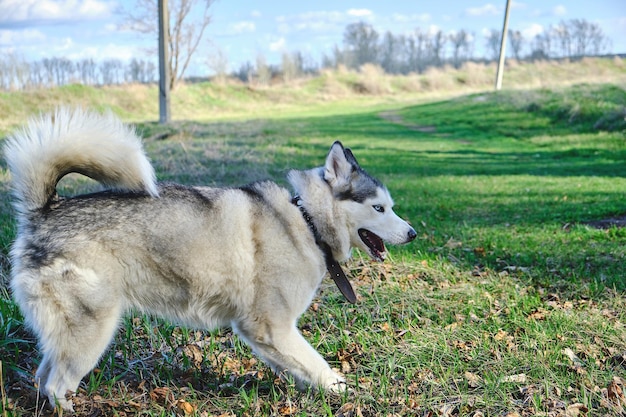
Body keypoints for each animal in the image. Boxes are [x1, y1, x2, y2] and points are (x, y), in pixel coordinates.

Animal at [4, 107, 416, 410]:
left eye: (391, 206)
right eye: (379, 208)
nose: (412, 233)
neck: (306, 220)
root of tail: (45, 210)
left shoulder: (271, 336)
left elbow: (299, 365)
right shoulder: (270, 326)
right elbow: (317, 364)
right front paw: (343, 390)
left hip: (68, 334)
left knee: (42, 378)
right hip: (92, 330)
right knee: (55, 385)